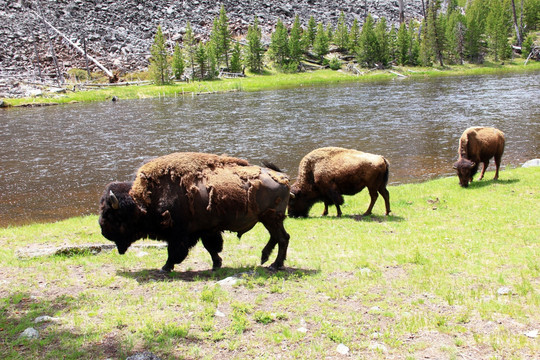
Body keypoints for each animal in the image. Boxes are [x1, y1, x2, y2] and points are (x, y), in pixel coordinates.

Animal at [98, 152, 292, 272]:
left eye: (114, 216)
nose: (103, 231)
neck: (143, 201)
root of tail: (282, 177)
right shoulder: (205, 231)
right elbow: (211, 247)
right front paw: (216, 264)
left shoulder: (179, 234)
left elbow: (174, 252)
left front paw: (165, 267)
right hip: (269, 220)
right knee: (279, 237)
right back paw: (265, 259)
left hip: (271, 219)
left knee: (282, 238)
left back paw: (274, 265)